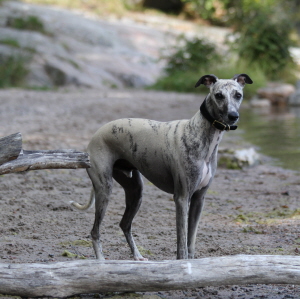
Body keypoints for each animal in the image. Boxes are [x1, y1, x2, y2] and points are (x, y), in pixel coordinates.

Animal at [72, 73, 253, 260]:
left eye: (238, 95)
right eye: (219, 95)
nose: (233, 116)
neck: (200, 133)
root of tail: (96, 134)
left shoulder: (198, 199)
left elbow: (191, 242)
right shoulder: (182, 198)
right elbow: (182, 245)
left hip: (135, 191)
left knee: (124, 224)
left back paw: (137, 256)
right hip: (105, 189)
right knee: (95, 231)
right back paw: (101, 261)